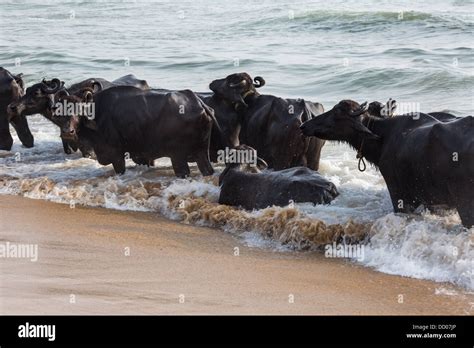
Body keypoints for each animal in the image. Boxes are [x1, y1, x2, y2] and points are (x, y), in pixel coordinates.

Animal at [64, 84, 218, 177]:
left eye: (79, 110)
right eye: (63, 109)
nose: (67, 131)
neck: (98, 112)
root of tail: (198, 102)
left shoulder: (116, 155)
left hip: (178, 156)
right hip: (201, 153)